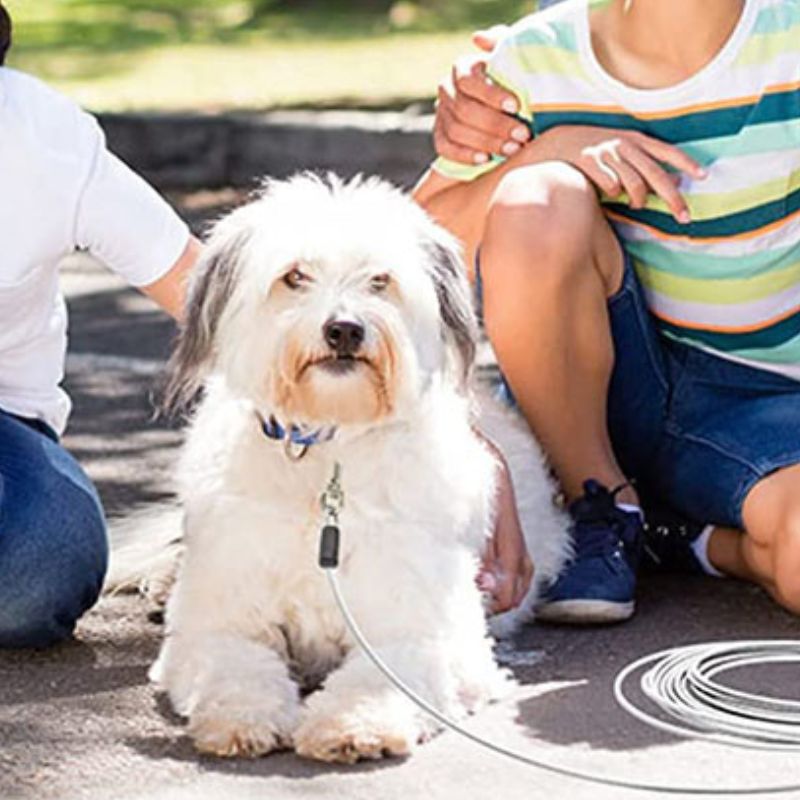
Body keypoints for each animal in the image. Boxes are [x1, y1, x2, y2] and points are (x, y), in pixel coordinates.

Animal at [134, 173, 568, 764]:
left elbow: (383, 675)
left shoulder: (415, 627)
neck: (328, 452)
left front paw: (354, 724)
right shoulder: (219, 621)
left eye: (380, 279)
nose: (343, 330)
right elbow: (235, 665)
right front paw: (240, 718)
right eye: (294, 276)